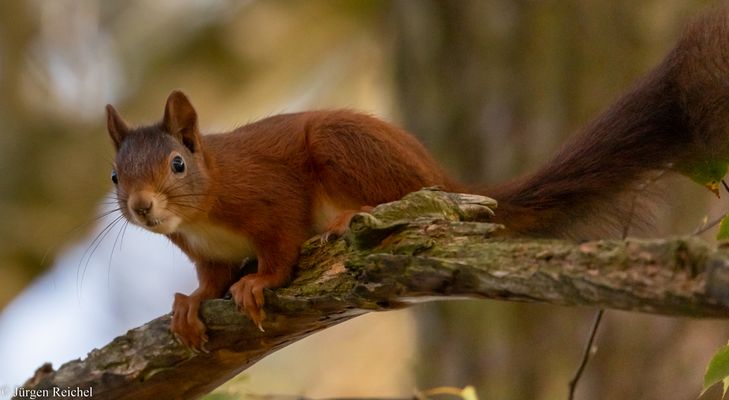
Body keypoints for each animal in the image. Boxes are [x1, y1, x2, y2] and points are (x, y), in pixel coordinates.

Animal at [105, 8, 729, 350]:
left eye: (177, 164)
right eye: (114, 176)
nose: (142, 207)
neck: (204, 208)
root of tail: (444, 177)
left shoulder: (268, 195)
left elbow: (280, 241)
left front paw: (258, 282)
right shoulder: (203, 250)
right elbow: (209, 279)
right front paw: (191, 303)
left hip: (345, 146)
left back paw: (345, 218)